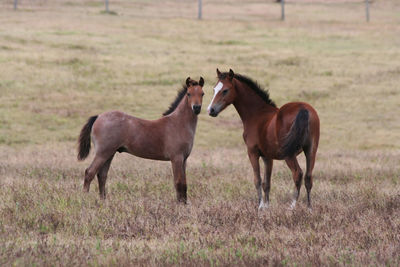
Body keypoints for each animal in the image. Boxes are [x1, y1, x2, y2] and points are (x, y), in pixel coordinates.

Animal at [77, 77, 205, 203]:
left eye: (202, 93)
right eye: (189, 94)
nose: (196, 108)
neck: (178, 123)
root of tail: (98, 117)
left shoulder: (184, 159)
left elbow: (184, 184)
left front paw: (184, 204)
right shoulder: (176, 158)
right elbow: (178, 183)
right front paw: (179, 205)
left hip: (109, 153)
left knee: (102, 175)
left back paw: (103, 201)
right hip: (102, 153)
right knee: (89, 172)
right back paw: (84, 199)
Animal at [208, 69, 320, 211]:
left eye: (225, 90)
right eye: (214, 89)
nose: (211, 110)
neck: (257, 114)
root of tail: (303, 109)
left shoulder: (252, 153)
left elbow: (258, 180)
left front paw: (260, 206)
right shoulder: (268, 157)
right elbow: (267, 183)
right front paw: (267, 206)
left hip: (289, 154)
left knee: (298, 174)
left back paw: (292, 206)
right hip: (311, 150)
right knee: (308, 177)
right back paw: (309, 208)